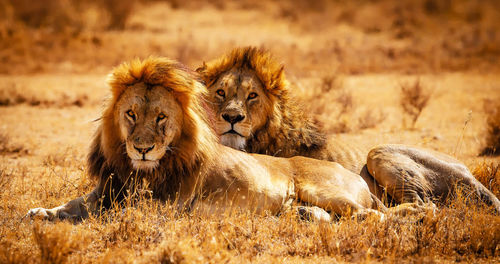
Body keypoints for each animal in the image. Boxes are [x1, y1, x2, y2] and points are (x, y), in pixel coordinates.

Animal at [25, 56, 386, 222]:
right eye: (131, 114)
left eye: (161, 118)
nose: (142, 149)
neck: (141, 172)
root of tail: (352, 174)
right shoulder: (107, 191)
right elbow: (74, 204)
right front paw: (41, 212)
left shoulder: (166, 207)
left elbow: (111, 215)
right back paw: (302, 215)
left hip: (324, 190)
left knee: (373, 216)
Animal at [196, 46, 500, 211]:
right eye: (221, 92)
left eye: (252, 96)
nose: (231, 117)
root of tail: (470, 172)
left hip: (378, 152)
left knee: (425, 205)